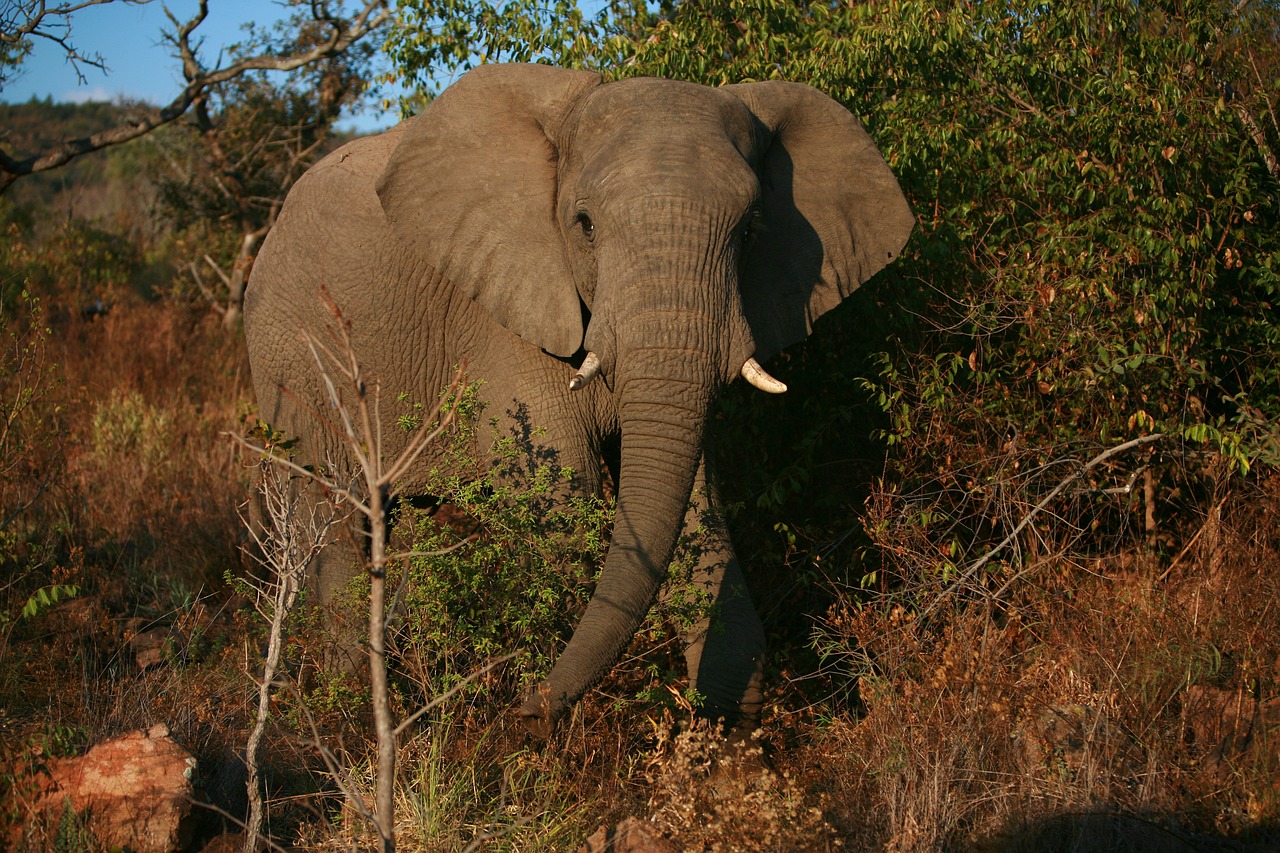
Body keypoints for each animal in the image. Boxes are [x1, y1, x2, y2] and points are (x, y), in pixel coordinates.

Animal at [241, 61, 911, 737]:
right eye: (584, 225)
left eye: (750, 230)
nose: (525, 709)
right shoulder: (504, 322)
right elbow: (565, 502)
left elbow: (694, 503)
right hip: (293, 361)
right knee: (333, 514)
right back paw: (348, 700)